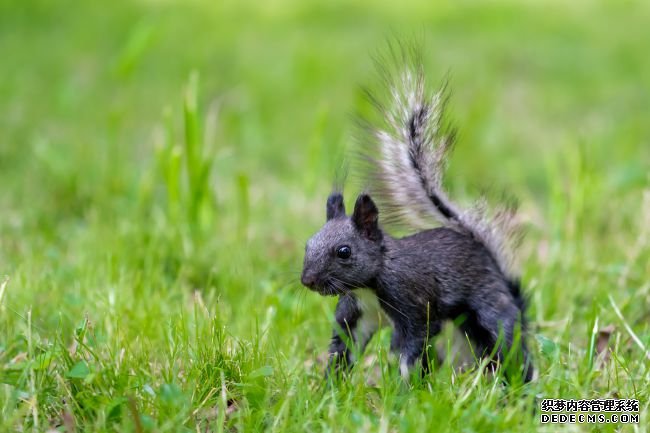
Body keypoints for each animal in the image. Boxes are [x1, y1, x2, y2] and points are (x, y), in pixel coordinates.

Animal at [298, 45, 532, 382]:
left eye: (344, 251)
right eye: (307, 244)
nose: (308, 280)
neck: (368, 286)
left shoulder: (413, 303)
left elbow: (411, 347)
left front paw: (403, 387)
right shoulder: (357, 314)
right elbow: (344, 348)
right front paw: (329, 384)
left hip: (488, 308)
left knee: (507, 340)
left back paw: (520, 383)